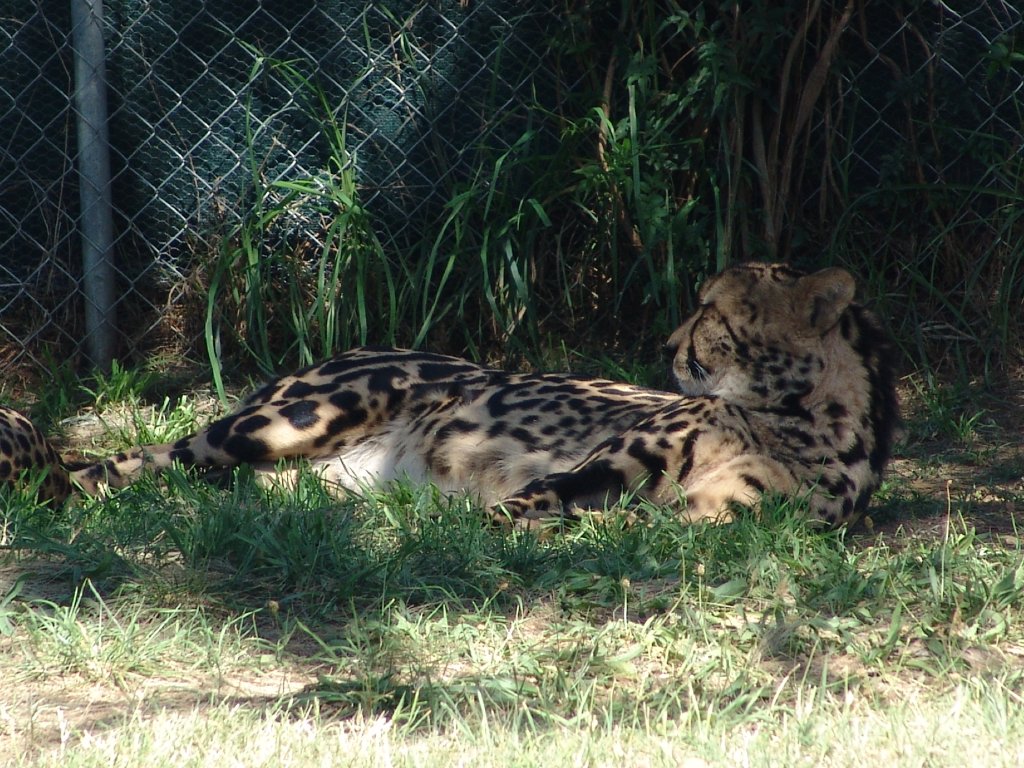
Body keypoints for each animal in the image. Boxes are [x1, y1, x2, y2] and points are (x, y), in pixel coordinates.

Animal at [68, 262, 899, 528]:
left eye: (712, 313)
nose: (667, 347)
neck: (794, 417)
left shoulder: (729, 516)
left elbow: (642, 521)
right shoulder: (600, 463)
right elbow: (540, 497)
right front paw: (482, 527)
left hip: (311, 479)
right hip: (296, 417)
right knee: (153, 454)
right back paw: (67, 482)